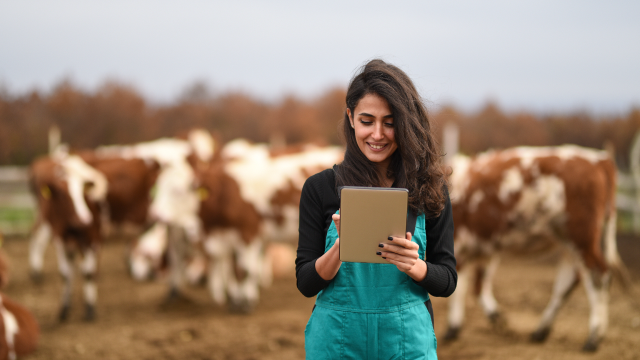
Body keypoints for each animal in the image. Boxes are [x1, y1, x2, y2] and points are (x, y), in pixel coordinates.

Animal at [442, 144, 628, 352]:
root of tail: (599, 159)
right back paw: (541, 331)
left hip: (581, 236)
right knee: (567, 282)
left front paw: (453, 328)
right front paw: (493, 316)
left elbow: (460, 285)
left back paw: (594, 337)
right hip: (568, 242)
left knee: (598, 275)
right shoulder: (486, 245)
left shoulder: (460, 242)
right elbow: (479, 284)